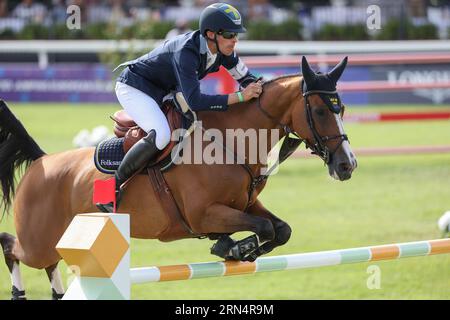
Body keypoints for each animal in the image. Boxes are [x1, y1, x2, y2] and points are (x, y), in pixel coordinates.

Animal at [0, 56, 358, 298]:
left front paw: (235, 248)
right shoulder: (203, 214)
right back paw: (19, 291)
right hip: (37, 240)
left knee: (47, 261)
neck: (231, 142)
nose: (347, 165)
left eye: (341, 109)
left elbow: (280, 229)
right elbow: (264, 227)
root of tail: (42, 161)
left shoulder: (245, 204)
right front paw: (237, 248)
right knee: (12, 246)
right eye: (321, 111)